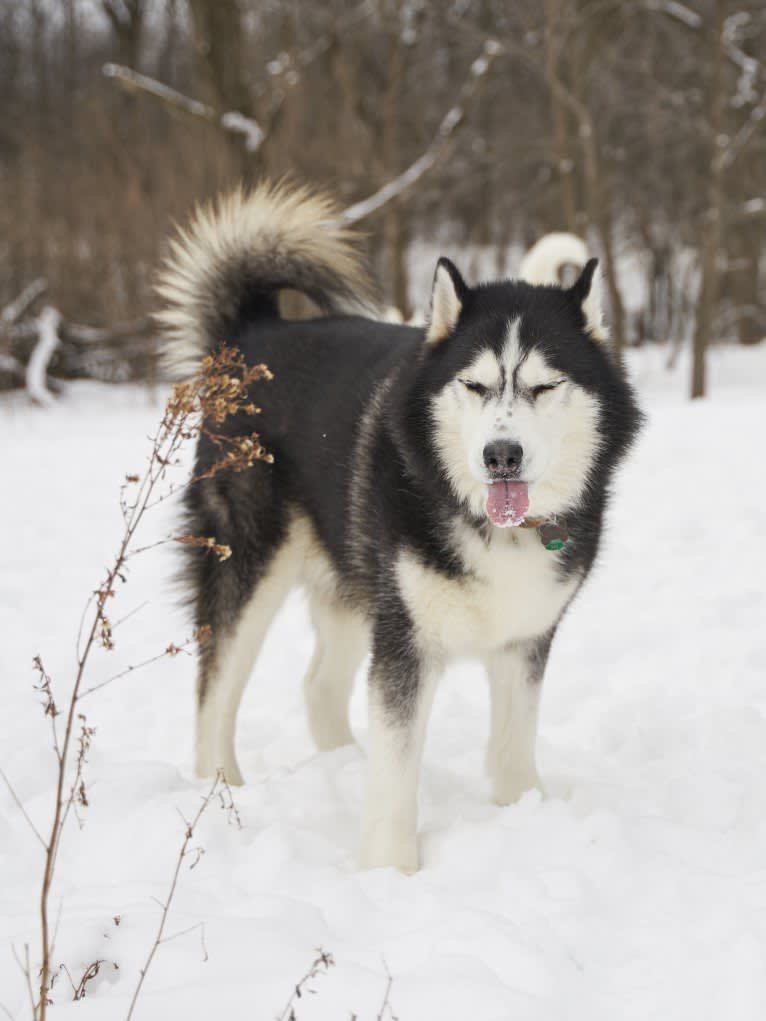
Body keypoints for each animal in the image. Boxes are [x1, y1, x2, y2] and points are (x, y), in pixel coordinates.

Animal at [157, 181, 641, 869]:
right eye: (475, 384)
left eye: (546, 386)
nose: (502, 455)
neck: (488, 523)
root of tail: (258, 328)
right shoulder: (405, 646)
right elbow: (395, 771)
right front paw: (389, 871)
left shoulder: (525, 638)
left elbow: (513, 748)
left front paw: (523, 812)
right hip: (251, 566)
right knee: (214, 688)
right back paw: (221, 789)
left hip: (357, 586)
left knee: (318, 685)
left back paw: (339, 764)